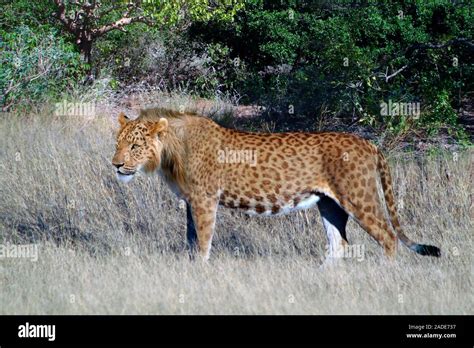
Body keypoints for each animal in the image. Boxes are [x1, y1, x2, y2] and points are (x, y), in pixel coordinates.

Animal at [111, 109, 440, 260]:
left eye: (135, 146)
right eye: (118, 143)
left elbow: (203, 243)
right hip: (329, 204)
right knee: (338, 244)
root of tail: (369, 143)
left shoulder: (205, 200)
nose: (115, 164)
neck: (170, 152)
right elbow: (191, 241)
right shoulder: (192, 201)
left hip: (360, 197)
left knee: (388, 237)